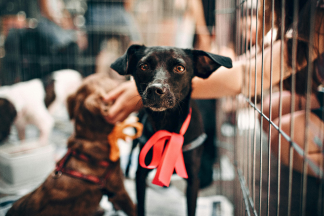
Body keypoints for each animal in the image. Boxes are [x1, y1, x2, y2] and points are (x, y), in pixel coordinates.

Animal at [111, 45, 233, 215]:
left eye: (180, 68)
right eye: (144, 66)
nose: (155, 90)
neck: (166, 123)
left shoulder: (193, 179)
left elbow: (191, 208)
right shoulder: (141, 174)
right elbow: (141, 206)